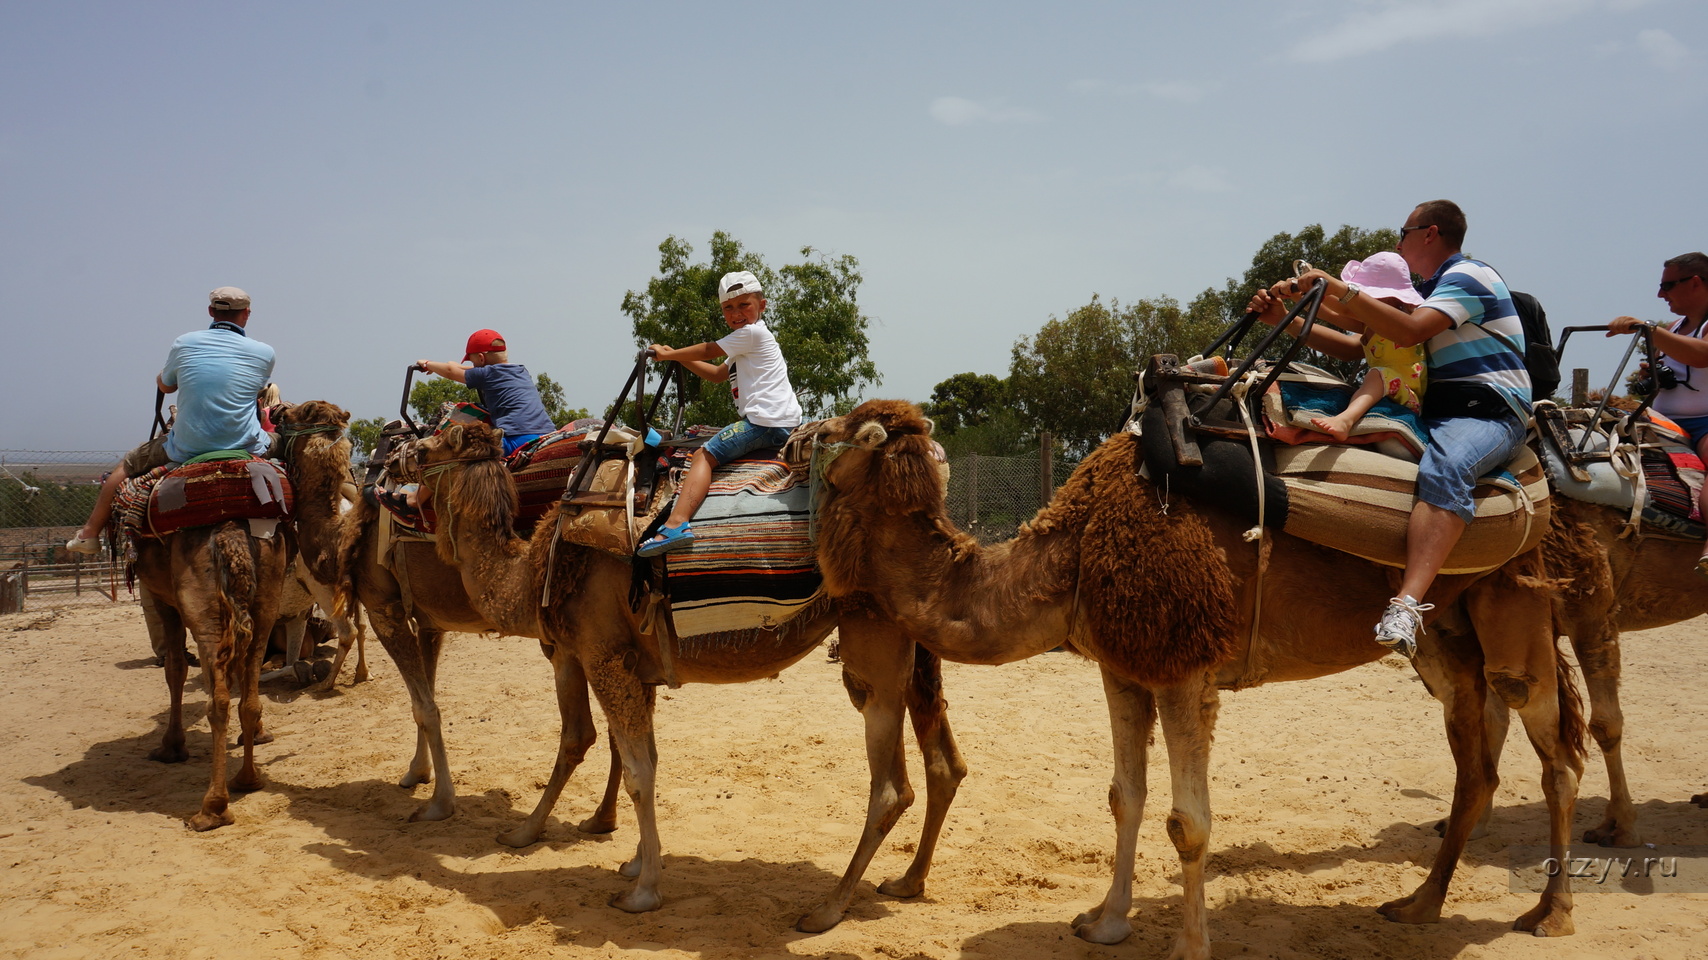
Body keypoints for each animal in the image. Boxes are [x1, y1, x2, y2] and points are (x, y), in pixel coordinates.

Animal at [396, 421, 963, 915]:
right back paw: (908, 881)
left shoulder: (601, 655)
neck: (538, 567)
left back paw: (828, 908)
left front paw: (640, 889)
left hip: (873, 633)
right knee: (944, 763)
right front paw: (633, 863)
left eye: (428, 445)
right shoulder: (636, 663)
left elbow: (633, 770)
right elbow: (643, 758)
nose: (394, 477)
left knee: (891, 783)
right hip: (913, 639)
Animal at [799, 396, 1585, 949]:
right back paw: (1419, 906)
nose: (798, 436)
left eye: (841, 431)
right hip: (1445, 630)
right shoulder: (1122, 666)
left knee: (1556, 754)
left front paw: (1188, 946)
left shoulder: (1185, 669)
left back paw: (1551, 915)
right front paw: (1105, 923)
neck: (1072, 551)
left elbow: (1190, 822)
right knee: (1476, 762)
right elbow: (1125, 797)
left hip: (1514, 600)